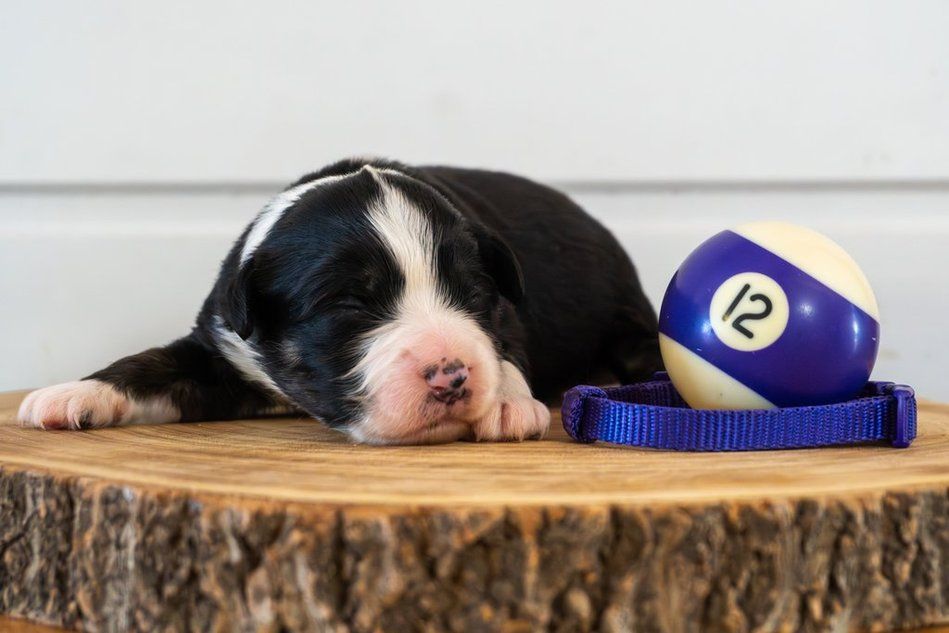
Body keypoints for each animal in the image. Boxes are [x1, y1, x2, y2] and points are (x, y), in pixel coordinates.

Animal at [17, 159, 661, 444]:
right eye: (350, 306)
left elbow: (504, 347)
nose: (452, 376)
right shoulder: (222, 350)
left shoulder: (507, 317)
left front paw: (504, 402)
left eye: (475, 294)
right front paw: (73, 394)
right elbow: (153, 366)